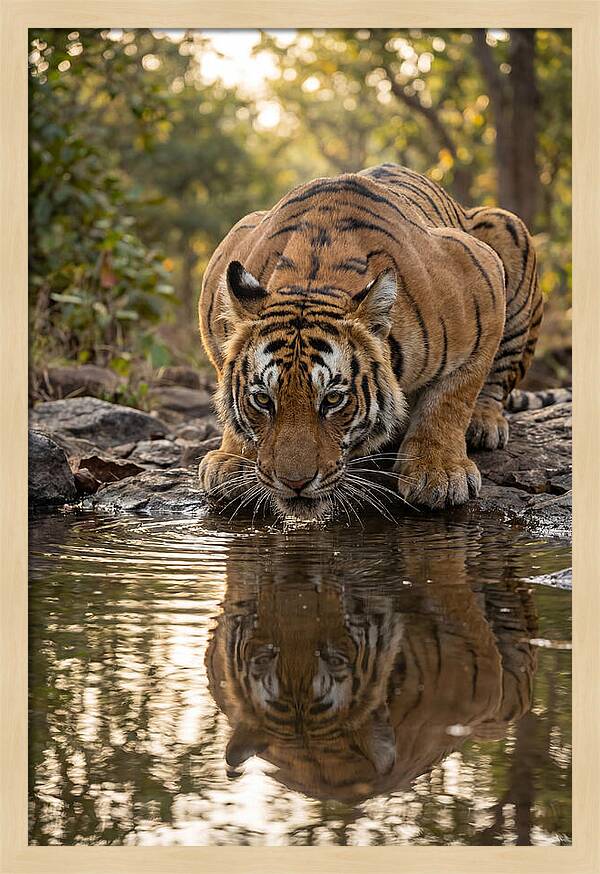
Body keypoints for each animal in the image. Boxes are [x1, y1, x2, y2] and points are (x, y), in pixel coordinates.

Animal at [198, 163, 543, 517]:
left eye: (333, 400)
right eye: (263, 400)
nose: (295, 483)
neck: (313, 279)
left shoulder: (482, 279)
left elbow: (451, 397)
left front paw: (439, 472)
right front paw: (231, 459)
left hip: (507, 227)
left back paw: (484, 424)